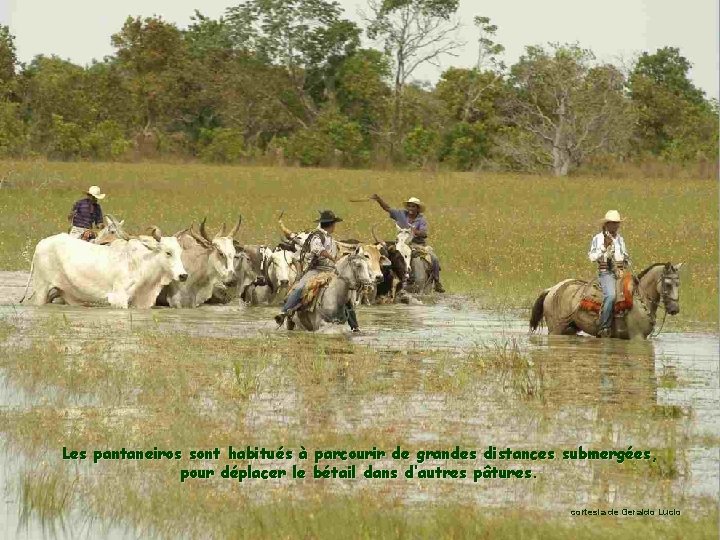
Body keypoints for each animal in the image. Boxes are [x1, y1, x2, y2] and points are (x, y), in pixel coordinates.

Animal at [21, 231, 187, 308]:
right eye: (168, 252)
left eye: (180, 252)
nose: (183, 275)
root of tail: (41, 244)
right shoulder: (118, 298)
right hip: (41, 289)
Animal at [532, 264, 684, 340]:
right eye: (668, 284)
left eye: (678, 283)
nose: (674, 309)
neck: (640, 299)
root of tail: (551, 289)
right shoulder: (637, 337)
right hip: (555, 330)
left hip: (569, 329)